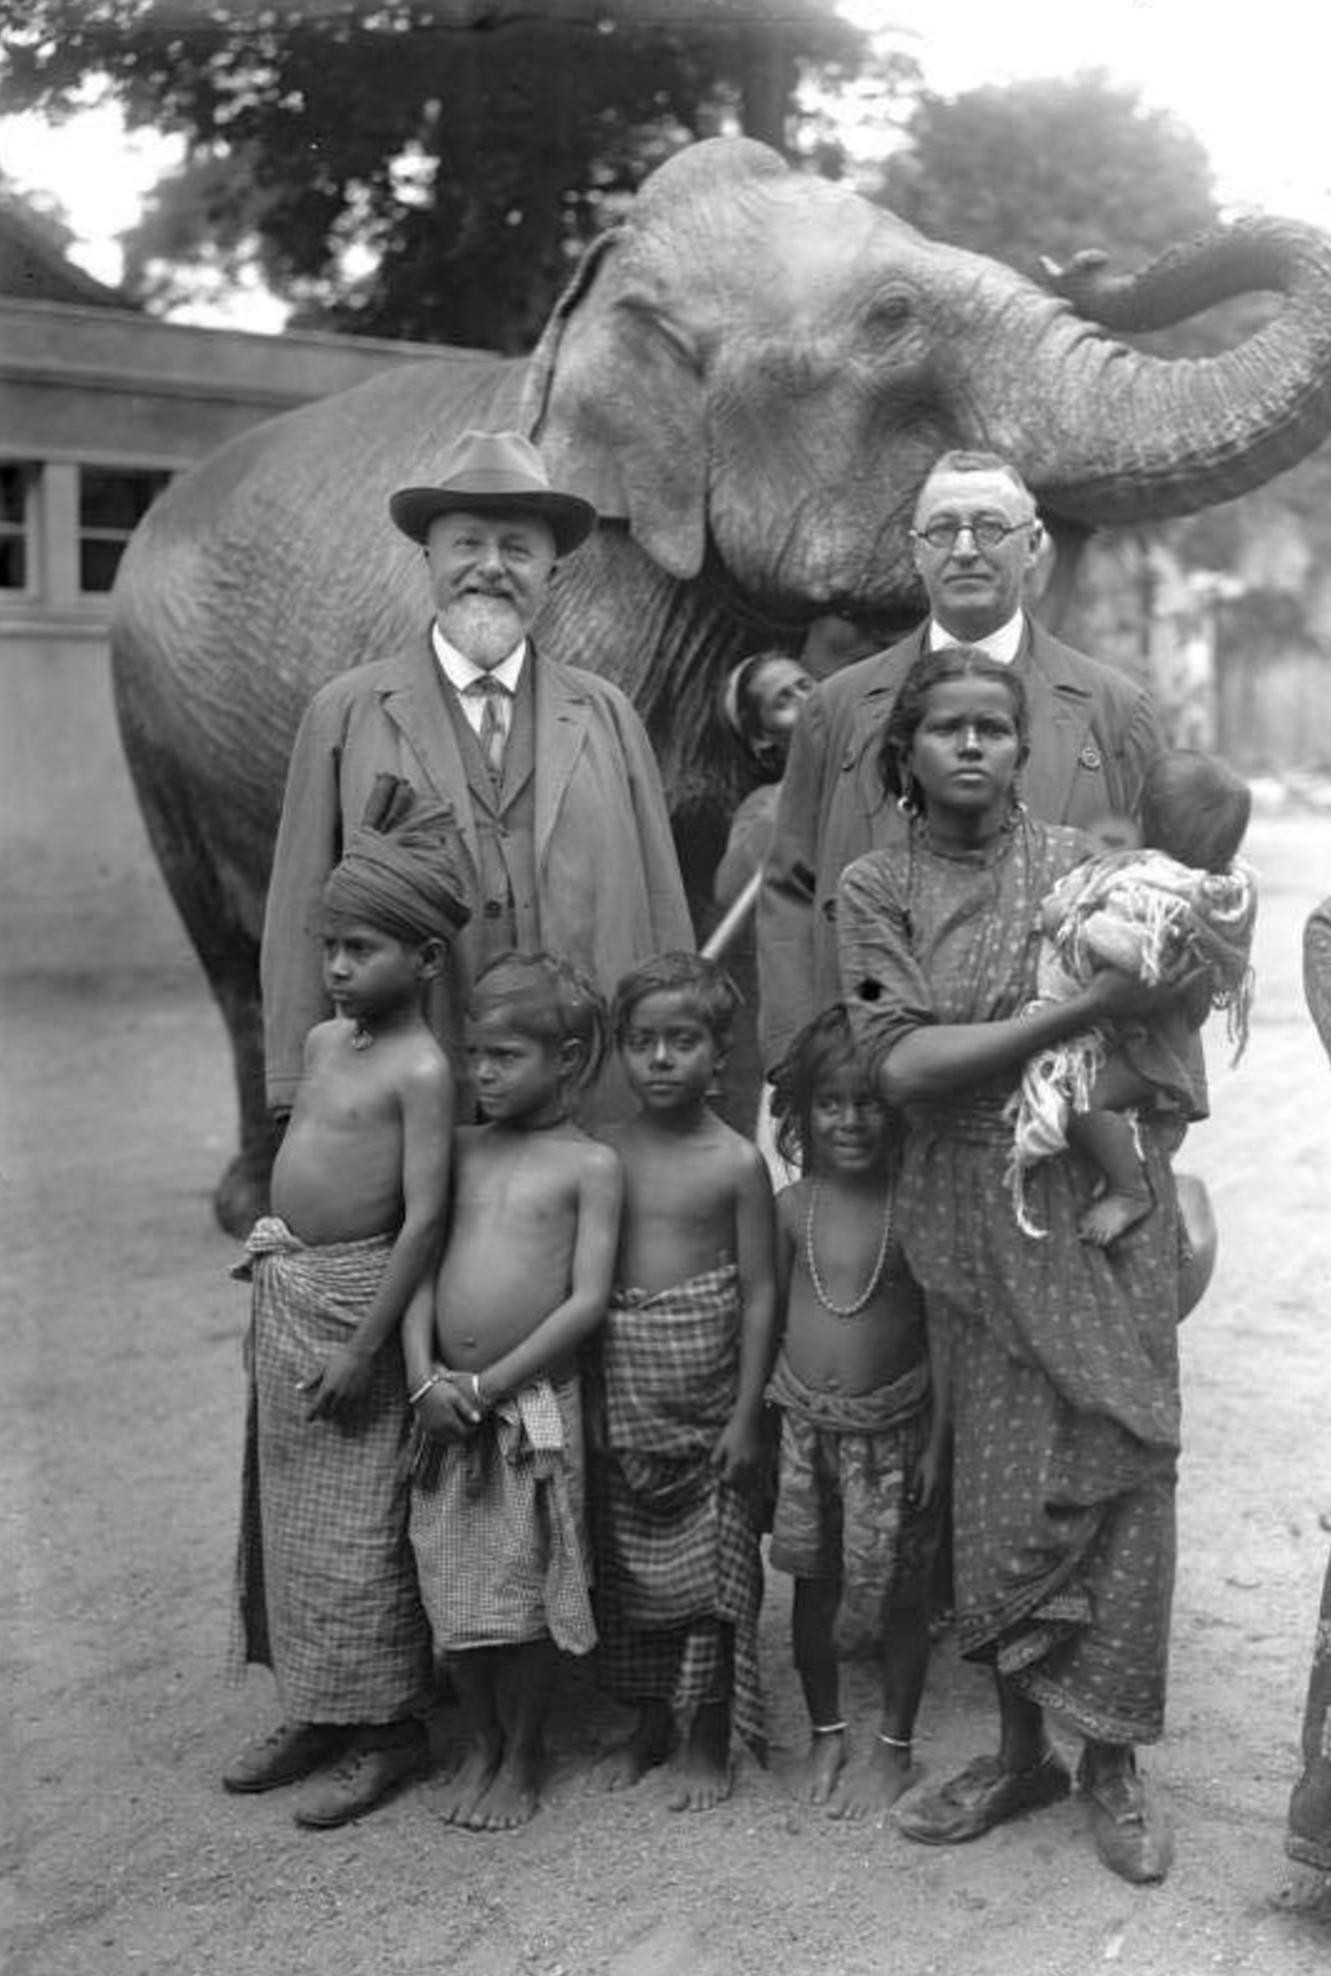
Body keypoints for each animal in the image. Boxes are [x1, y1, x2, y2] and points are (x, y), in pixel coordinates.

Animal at [111, 131, 1331, 1225]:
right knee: (234, 945)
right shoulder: (593, 601)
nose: (1080, 256)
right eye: (892, 314)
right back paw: (253, 1196)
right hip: (147, 711)